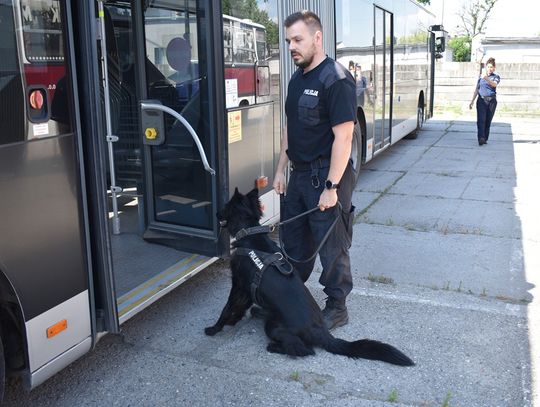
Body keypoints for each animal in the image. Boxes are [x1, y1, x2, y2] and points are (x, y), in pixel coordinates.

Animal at [205, 188, 416, 366]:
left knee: (304, 350)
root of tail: (322, 332)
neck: (250, 234)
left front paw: (214, 328)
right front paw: (232, 321)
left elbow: (227, 308)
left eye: (224, 207)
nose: (215, 215)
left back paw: (274, 346)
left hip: (274, 327)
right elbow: (237, 308)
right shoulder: (247, 289)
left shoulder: (238, 285)